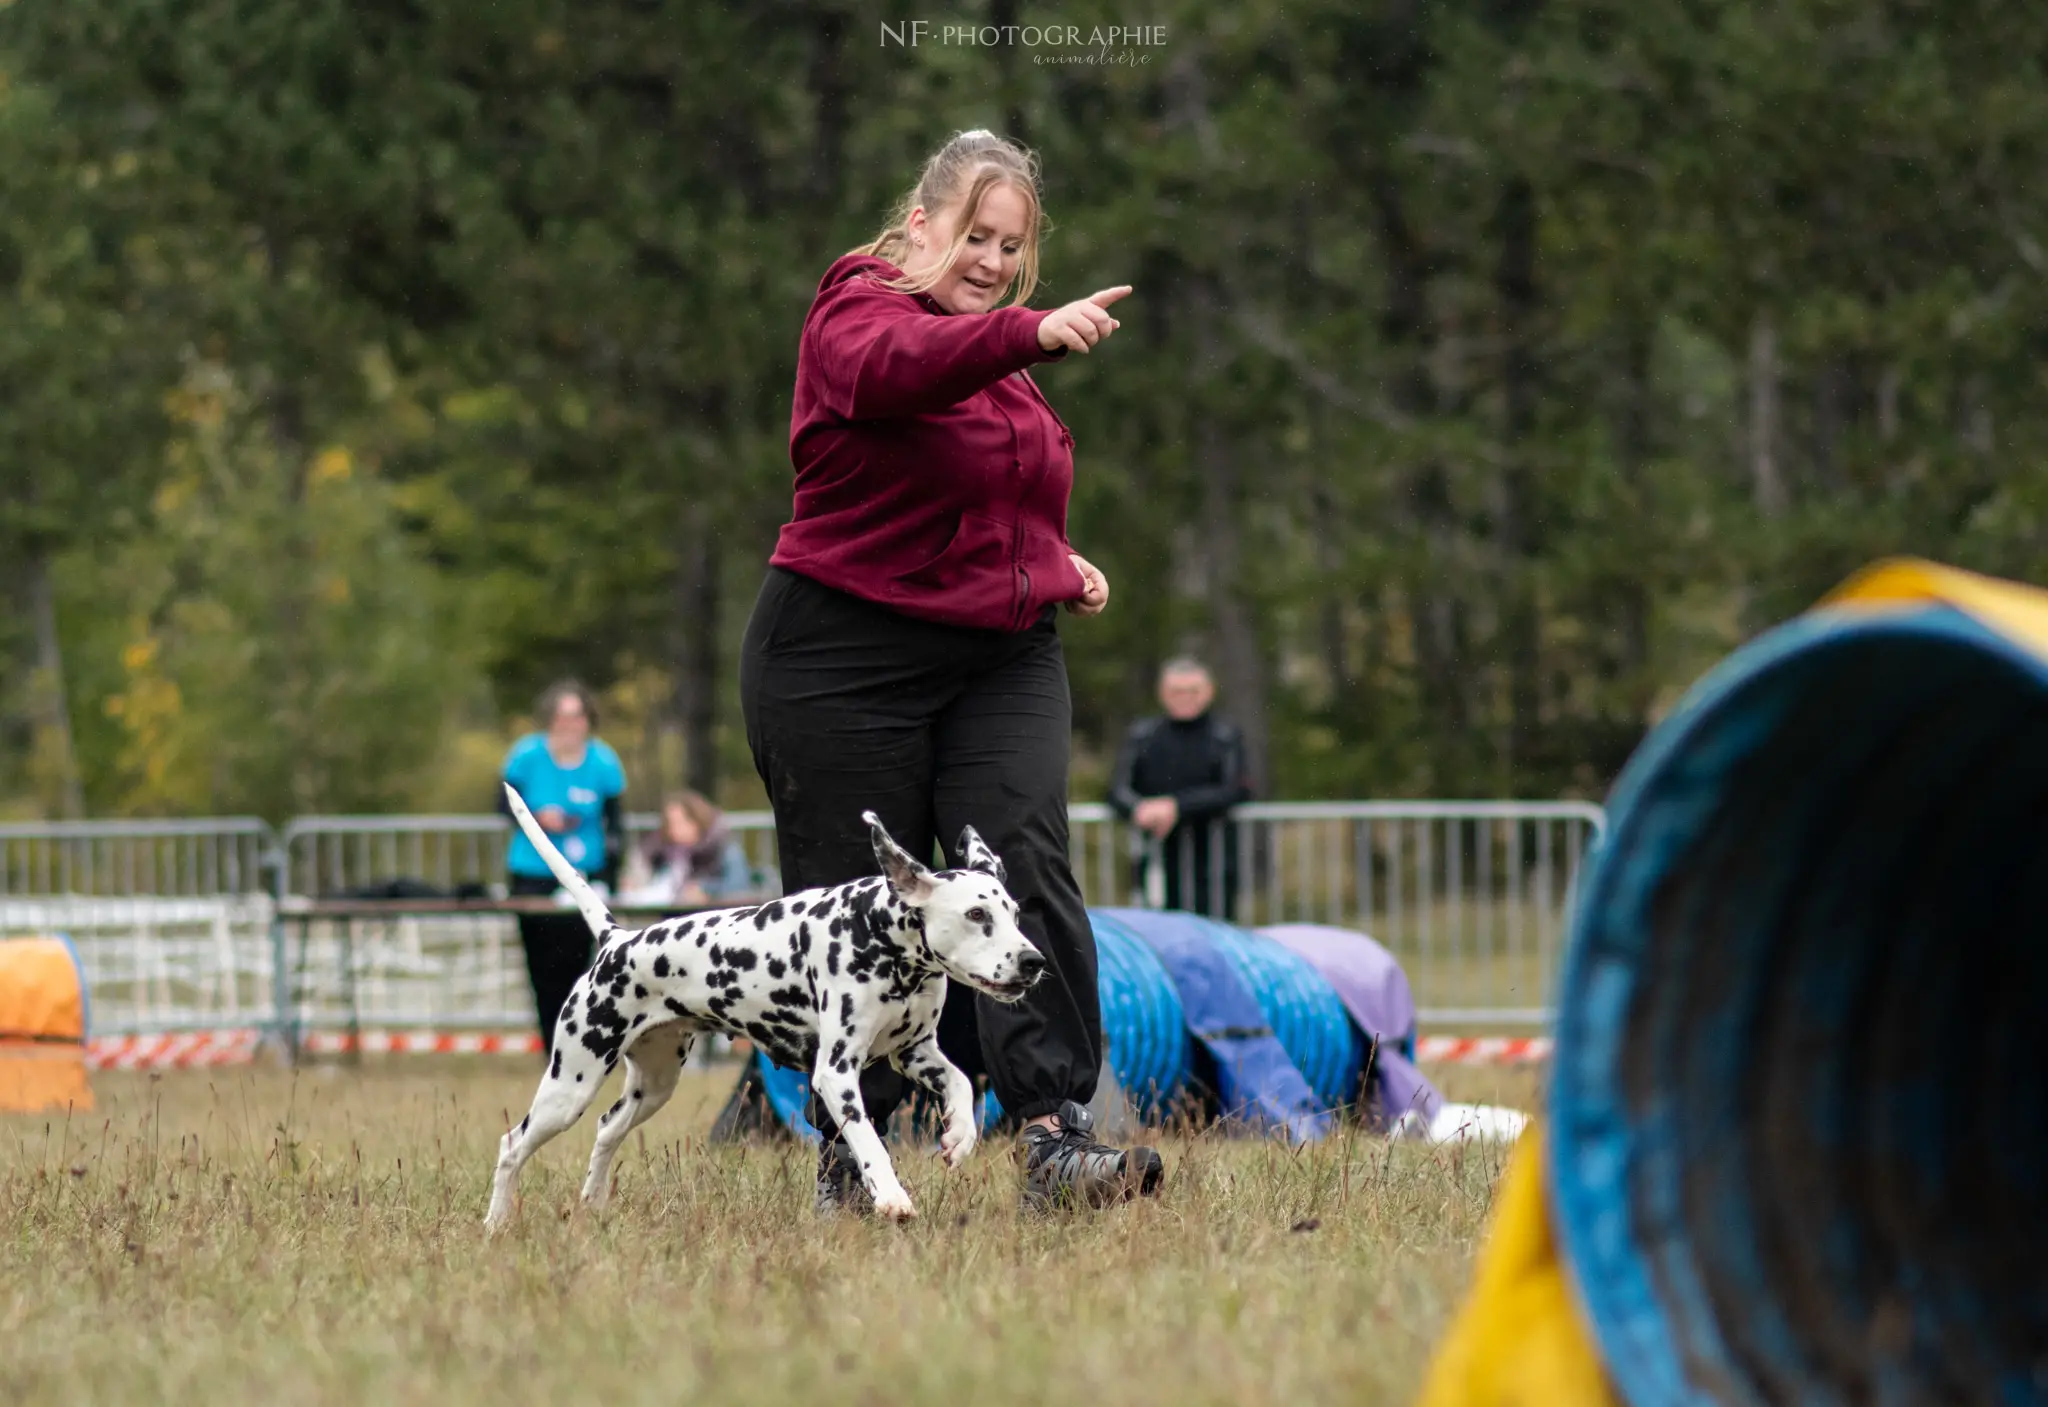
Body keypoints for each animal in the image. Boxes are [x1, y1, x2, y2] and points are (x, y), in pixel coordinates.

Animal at [487, 782, 1048, 1228]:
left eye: (1015, 913)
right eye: (977, 914)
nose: (1034, 961)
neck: (879, 934)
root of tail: (615, 940)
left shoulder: (915, 1052)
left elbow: (960, 1083)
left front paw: (960, 1136)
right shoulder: (836, 1074)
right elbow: (867, 1140)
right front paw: (890, 1197)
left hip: (653, 1086)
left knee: (606, 1131)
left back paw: (593, 1205)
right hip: (570, 1085)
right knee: (512, 1145)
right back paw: (496, 1225)